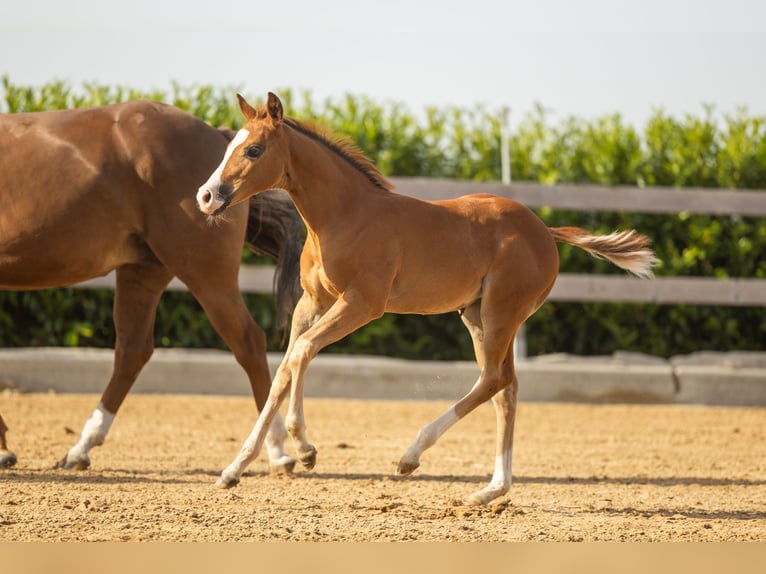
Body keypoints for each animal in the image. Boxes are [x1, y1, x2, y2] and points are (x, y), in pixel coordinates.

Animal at [0, 99, 305, 473]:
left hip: (204, 272)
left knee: (248, 341)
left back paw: (276, 449)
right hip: (143, 272)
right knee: (132, 351)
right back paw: (81, 448)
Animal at [196, 92, 658, 505]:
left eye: (253, 149)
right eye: (230, 145)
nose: (206, 196)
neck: (344, 216)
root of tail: (545, 231)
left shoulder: (362, 303)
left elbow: (303, 352)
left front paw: (306, 449)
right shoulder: (312, 303)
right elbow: (284, 370)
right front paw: (234, 470)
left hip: (501, 311)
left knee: (494, 380)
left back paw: (411, 455)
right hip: (478, 315)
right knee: (505, 387)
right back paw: (492, 490)